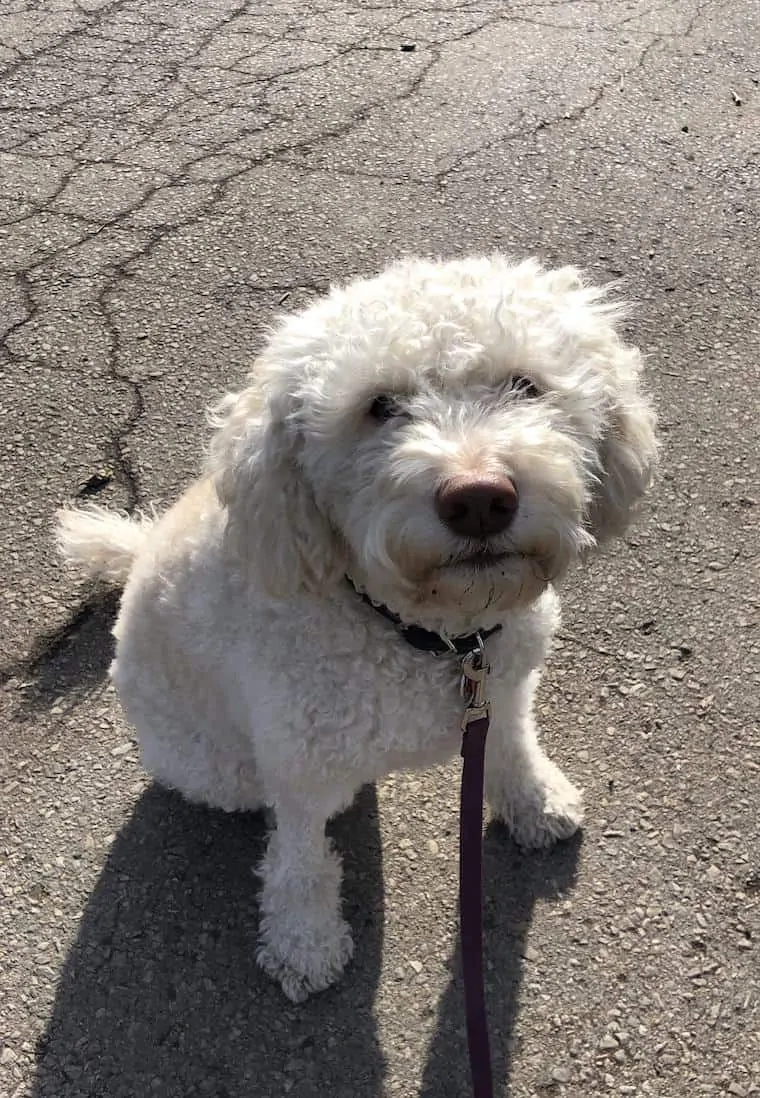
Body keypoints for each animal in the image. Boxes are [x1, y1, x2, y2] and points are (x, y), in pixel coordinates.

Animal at [56, 254, 654, 1005]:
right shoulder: (299, 766)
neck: (432, 636)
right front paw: (304, 942)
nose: (479, 498)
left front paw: (534, 802)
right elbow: (299, 860)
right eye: (379, 406)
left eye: (525, 385)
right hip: (222, 768)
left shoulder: (508, 687)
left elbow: (514, 747)